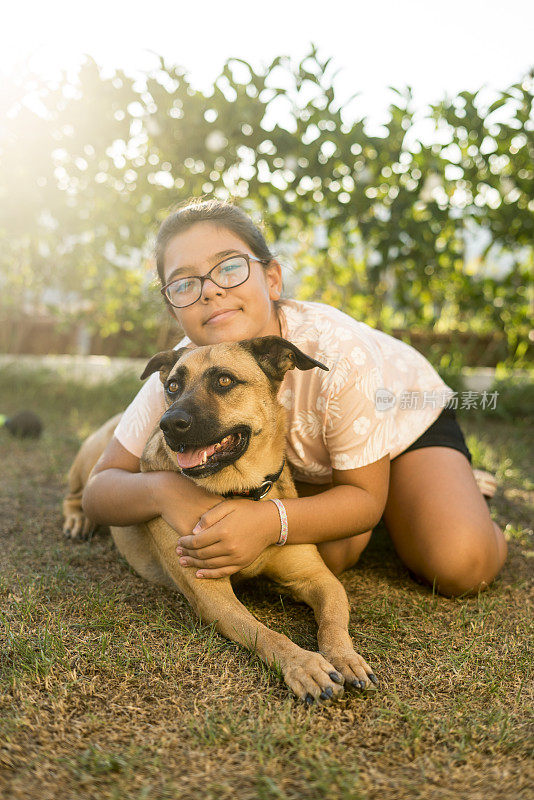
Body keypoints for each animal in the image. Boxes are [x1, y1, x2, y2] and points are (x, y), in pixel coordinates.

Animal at [62, 334, 378, 704]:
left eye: (224, 381)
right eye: (172, 386)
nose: (168, 424)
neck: (241, 493)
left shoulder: (318, 578)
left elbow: (332, 621)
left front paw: (345, 657)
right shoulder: (214, 597)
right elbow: (267, 634)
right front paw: (304, 664)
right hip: (89, 464)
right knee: (74, 495)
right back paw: (77, 521)